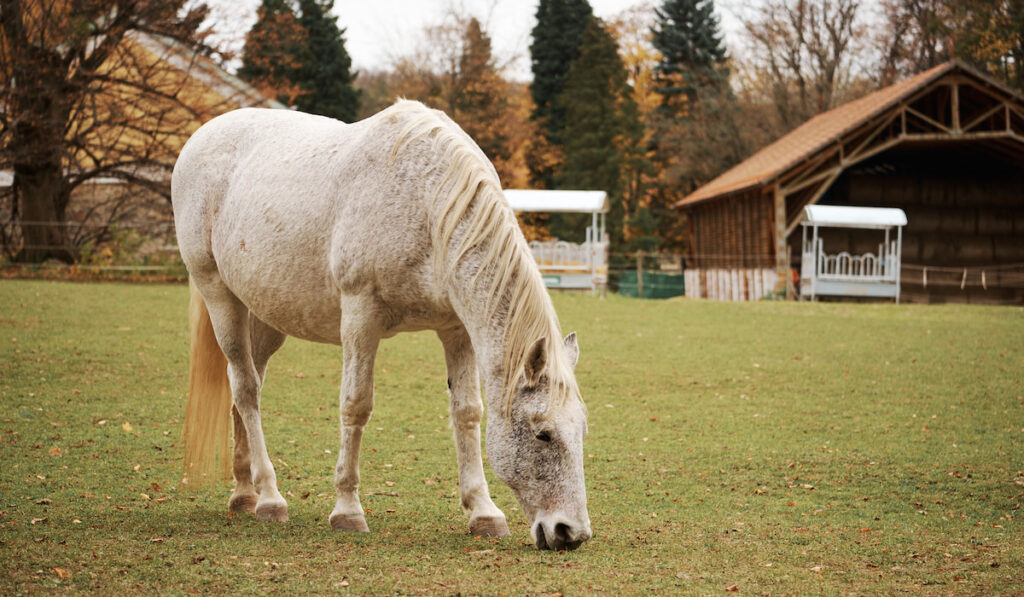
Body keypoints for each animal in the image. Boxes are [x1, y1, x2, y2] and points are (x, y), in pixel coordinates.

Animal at [171, 99, 593, 552]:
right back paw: (269, 498)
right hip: (220, 297)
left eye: (581, 431)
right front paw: (347, 510)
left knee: (245, 388)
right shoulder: (360, 319)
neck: (428, 203)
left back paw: (244, 493)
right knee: (247, 390)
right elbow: (356, 405)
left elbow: (467, 412)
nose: (570, 532)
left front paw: (483, 512)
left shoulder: (457, 331)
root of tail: (203, 136)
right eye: (543, 434)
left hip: (266, 317)